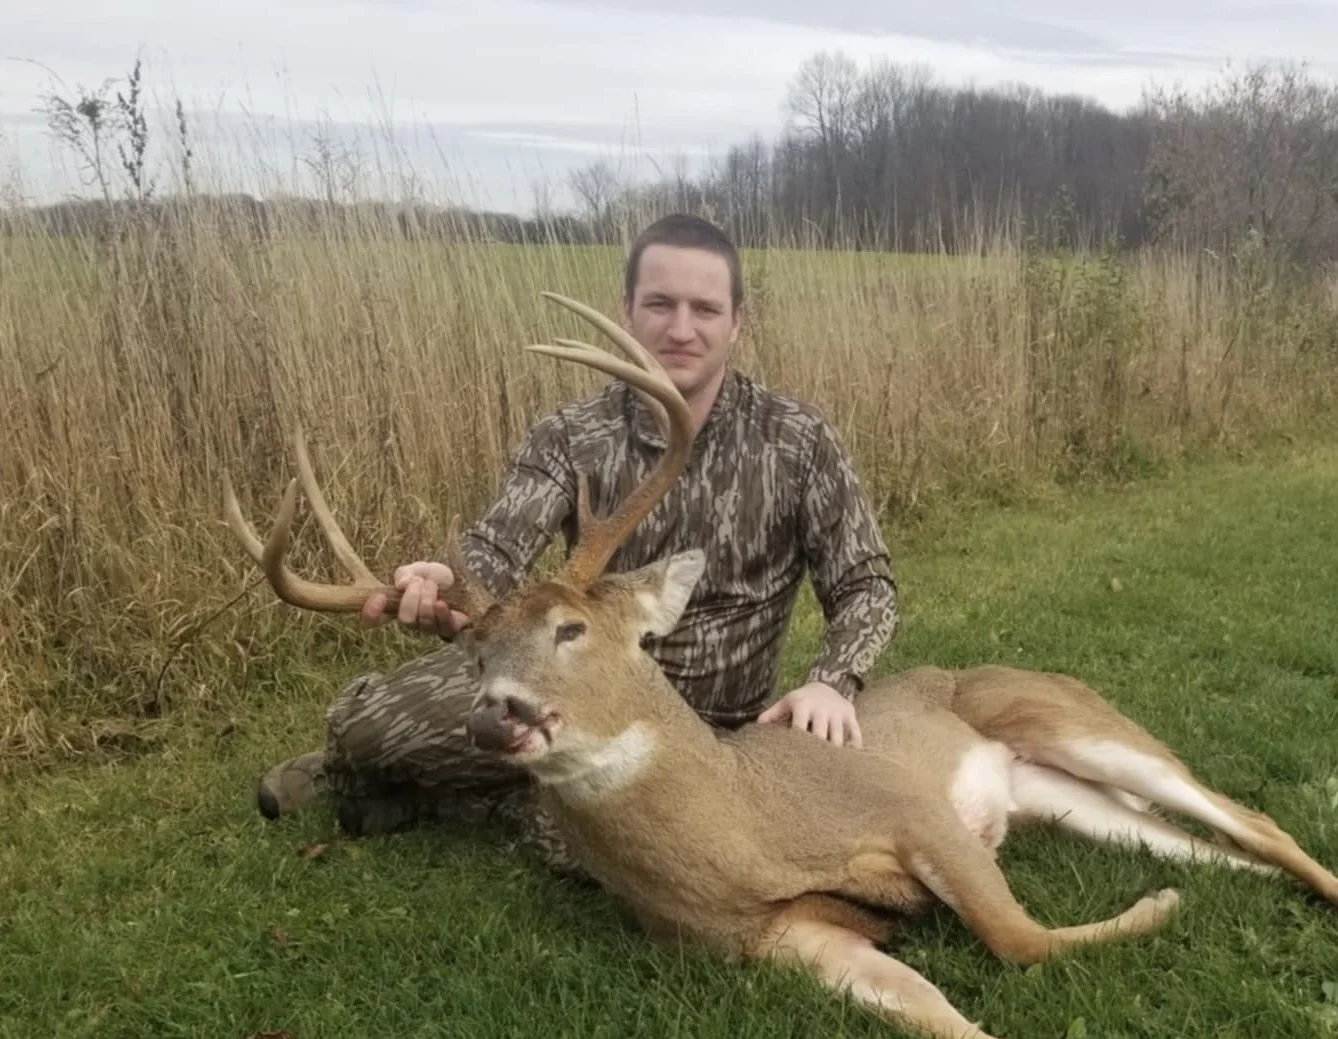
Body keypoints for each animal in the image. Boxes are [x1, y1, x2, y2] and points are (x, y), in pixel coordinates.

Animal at [223, 292, 1338, 1039]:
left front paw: (1155, 912)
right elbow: (943, 1014)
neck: (751, 833)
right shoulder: (783, 942)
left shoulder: (909, 805)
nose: (499, 710)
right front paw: (1156, 910)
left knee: (1252, 815)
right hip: (1060, 796)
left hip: (1059, 715)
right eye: (475, 649)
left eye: (572, 630)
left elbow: (1019, 939)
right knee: (1210, 843)